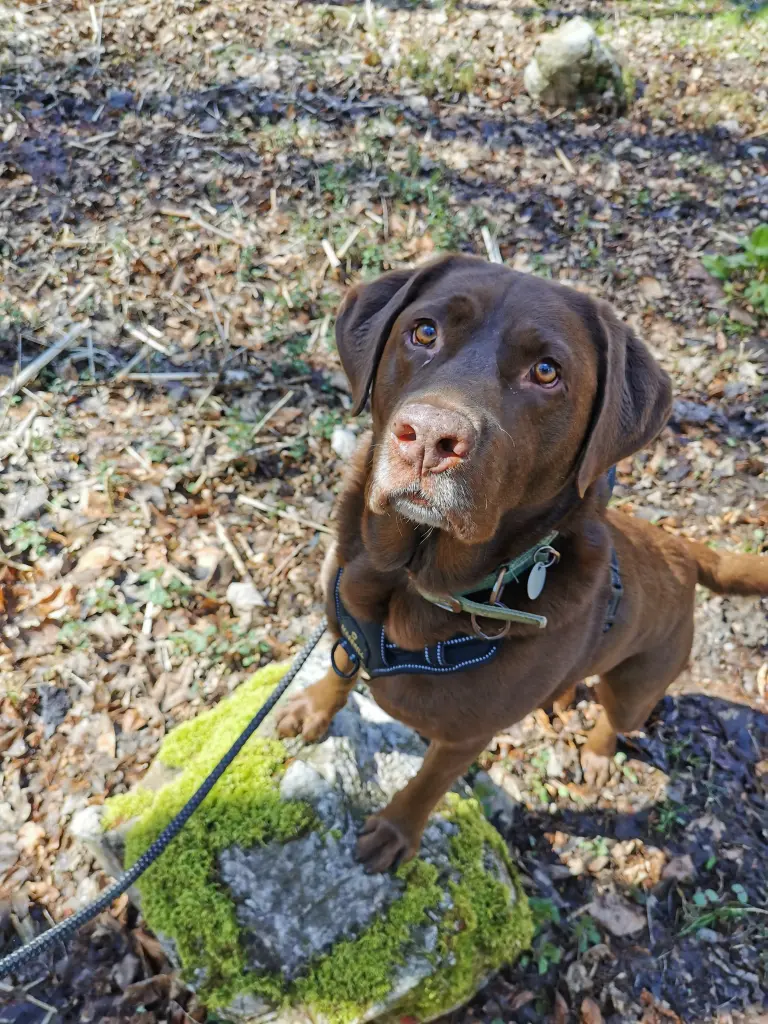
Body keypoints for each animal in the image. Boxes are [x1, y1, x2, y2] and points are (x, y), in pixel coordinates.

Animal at [276, 254, 768, 873]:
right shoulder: (346, 619)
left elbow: (428, 785)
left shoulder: (465, 738)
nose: (430, 438)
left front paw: (394, 832)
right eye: (424, 332)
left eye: (546, 371)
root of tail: (683, 548)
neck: (409, 583)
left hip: (642, 682)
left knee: (616, 718)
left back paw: (598, 753)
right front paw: (312, 708)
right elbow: (340, 671)